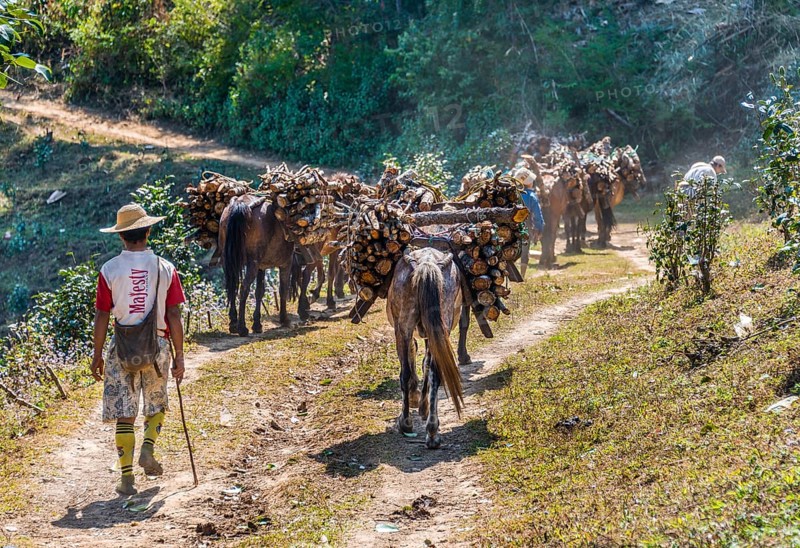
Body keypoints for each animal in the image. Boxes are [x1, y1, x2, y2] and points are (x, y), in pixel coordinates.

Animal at [219, 195, 311, 336]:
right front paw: (284, 319)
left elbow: (259, 291)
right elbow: (283, 289)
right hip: (252, 263)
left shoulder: (261, 267)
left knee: (232, 286)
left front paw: (257, 324)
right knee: (243, 288)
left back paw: (233, 323)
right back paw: (242, 327)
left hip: (228, 261)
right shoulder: (286, 263)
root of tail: (240, 203)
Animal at [387, 247, 465, 449]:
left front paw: (417, 400)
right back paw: (432, 431)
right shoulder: (433, 334)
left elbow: (414, 359)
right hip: (440, 324)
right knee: (436, 373)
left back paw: (406, 423)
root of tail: (427, 263)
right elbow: (427, 365)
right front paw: (423, 406)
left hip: (403, 326)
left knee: (405, 373)